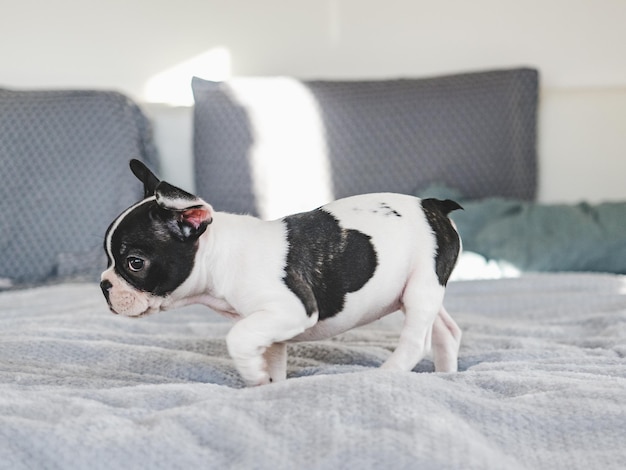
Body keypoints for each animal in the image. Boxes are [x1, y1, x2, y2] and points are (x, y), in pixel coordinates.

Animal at [101, 160, 464, 388]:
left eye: (134, 263)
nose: (104, 285)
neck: (220, 255)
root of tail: (433, 205)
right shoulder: (269, 325)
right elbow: (270, 355)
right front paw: (268, 384)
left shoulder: (292, 309)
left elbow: (237, 338)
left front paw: (254, 376)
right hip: (422, 288)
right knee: (446, 330)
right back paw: (447, 376)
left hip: (420, 288)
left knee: (416, 341)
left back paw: (385, 374)